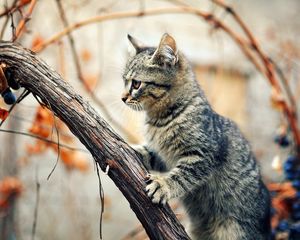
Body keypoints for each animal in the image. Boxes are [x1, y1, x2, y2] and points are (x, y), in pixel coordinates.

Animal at [120, 32, 270, 239]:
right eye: (124, 81)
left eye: (136, 84)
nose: (122, 98)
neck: (160, 119)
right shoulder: (164, 156)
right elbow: (150, 153)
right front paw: (134, 150)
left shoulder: (203, 154)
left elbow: (183, 175)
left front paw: (164, 185)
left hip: (235, 229)